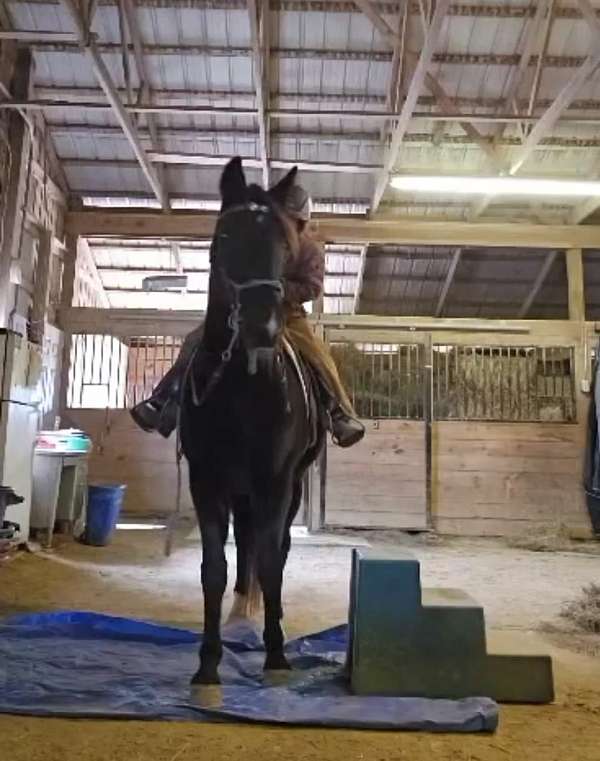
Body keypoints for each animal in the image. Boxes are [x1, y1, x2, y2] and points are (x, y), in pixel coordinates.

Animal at [180, 156, 326, 684]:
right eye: (225, 235)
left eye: (284, 243)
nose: (261, 326)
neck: (241, 388)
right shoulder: (206, 480)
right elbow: (213, 569)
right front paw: (208, 663)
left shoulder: (276, 481)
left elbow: (271, 563)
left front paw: (277, 655)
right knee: (244, 545)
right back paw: (240, 612)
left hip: (289, 485)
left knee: (272, 547)